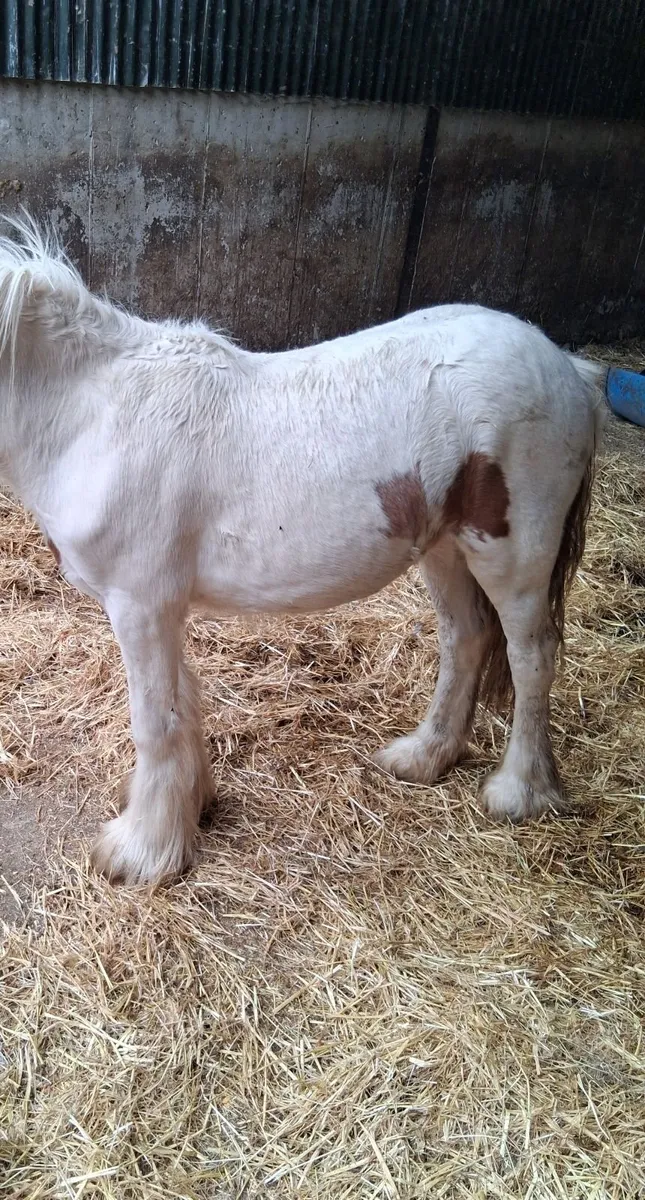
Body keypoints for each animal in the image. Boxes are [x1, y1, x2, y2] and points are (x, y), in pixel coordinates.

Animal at [0, 216, 605, 884]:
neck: (94, 415)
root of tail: (567, 369)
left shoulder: (140, 607)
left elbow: (156, 723)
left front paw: (142, 853)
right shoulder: (164, 610)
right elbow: (184, 706)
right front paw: (192, 808)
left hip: (512, 556)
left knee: (531, 657)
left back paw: (520, 792)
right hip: (444, 549)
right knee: (466, 638)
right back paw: (425, 756)